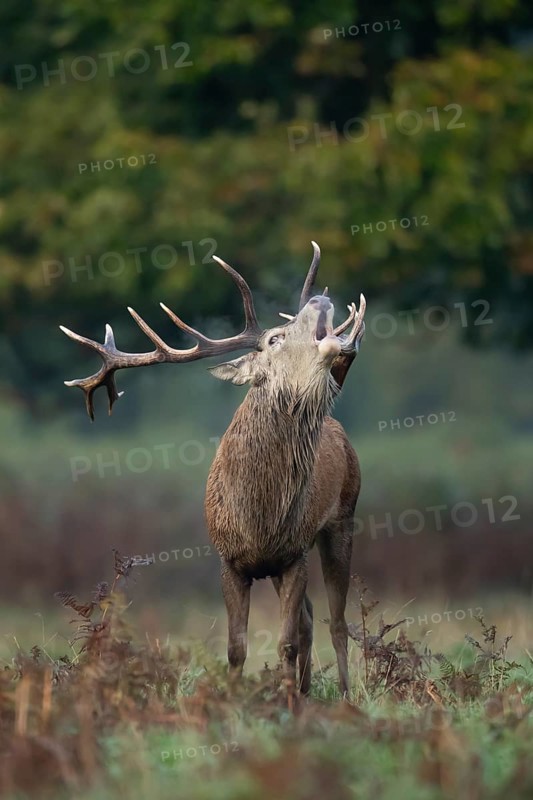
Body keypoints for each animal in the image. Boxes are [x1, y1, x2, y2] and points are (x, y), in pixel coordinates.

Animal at [60, 242, 366, 696]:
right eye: (275, 338)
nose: (317, 300)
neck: (259, 516)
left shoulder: (293, 554)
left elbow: (287, 643)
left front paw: (287, 703)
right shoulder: (229, 559)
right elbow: (237, 647)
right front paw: (237, 699)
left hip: (343, 518)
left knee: (337, 622)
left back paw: (341, 695)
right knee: (313, 618)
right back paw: (308, 689)